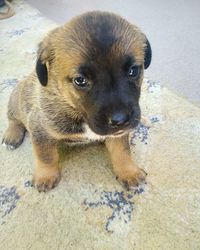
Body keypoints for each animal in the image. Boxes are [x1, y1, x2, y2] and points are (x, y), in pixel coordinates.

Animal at [1, 11, 152, 191]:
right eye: (80, 80)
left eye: (133, 71)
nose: (120, 120)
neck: (74, 109)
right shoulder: (40, 130)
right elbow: (46, 155)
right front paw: (46, 176)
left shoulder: (119, 134)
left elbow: (122, 151)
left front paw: (129, 172)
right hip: (16, 100)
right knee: (14, 119)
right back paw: (12, 135)